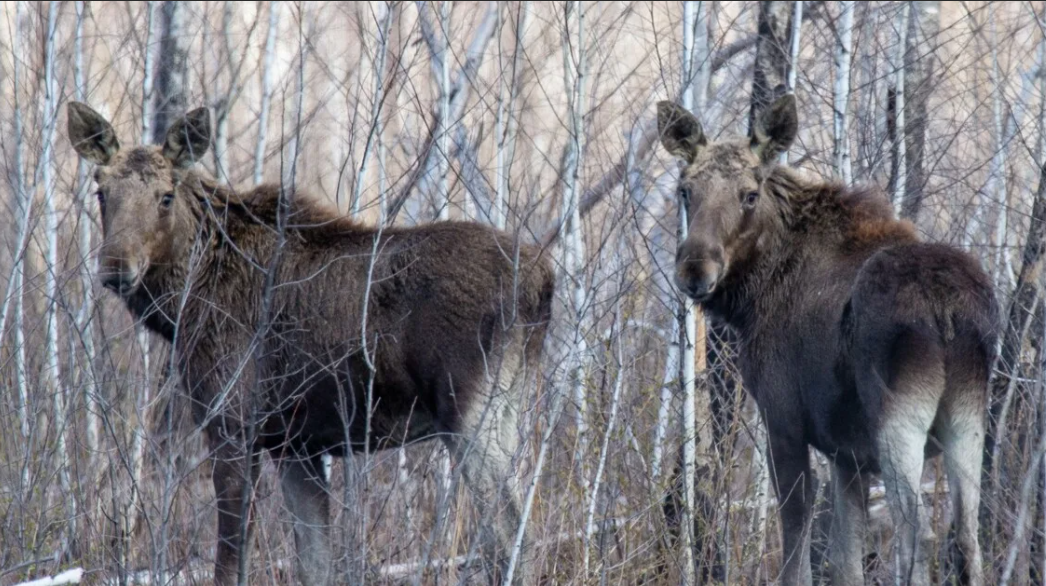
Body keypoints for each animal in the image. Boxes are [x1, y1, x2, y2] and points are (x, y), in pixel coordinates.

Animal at [67, 103, 556, 581]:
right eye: (101, 192)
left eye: (166, 195)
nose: (116, 267)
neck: (183, 305)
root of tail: (544, 281)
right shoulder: (296, 445)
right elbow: (315, 562)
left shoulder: (232, 423)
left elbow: (230, 562)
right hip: (506, 409)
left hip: (471, 410)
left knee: (513, 538)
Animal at [661, 96, 995, 586]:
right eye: (686, 190)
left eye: (749, 194)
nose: (695, 271)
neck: (754, 297)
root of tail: (946, 309)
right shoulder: (848, 455)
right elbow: (845, 561)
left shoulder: (782, 419)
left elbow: (796, 543)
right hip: (967, 418)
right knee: (967, 539)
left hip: (900, 419)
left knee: (917, 537)